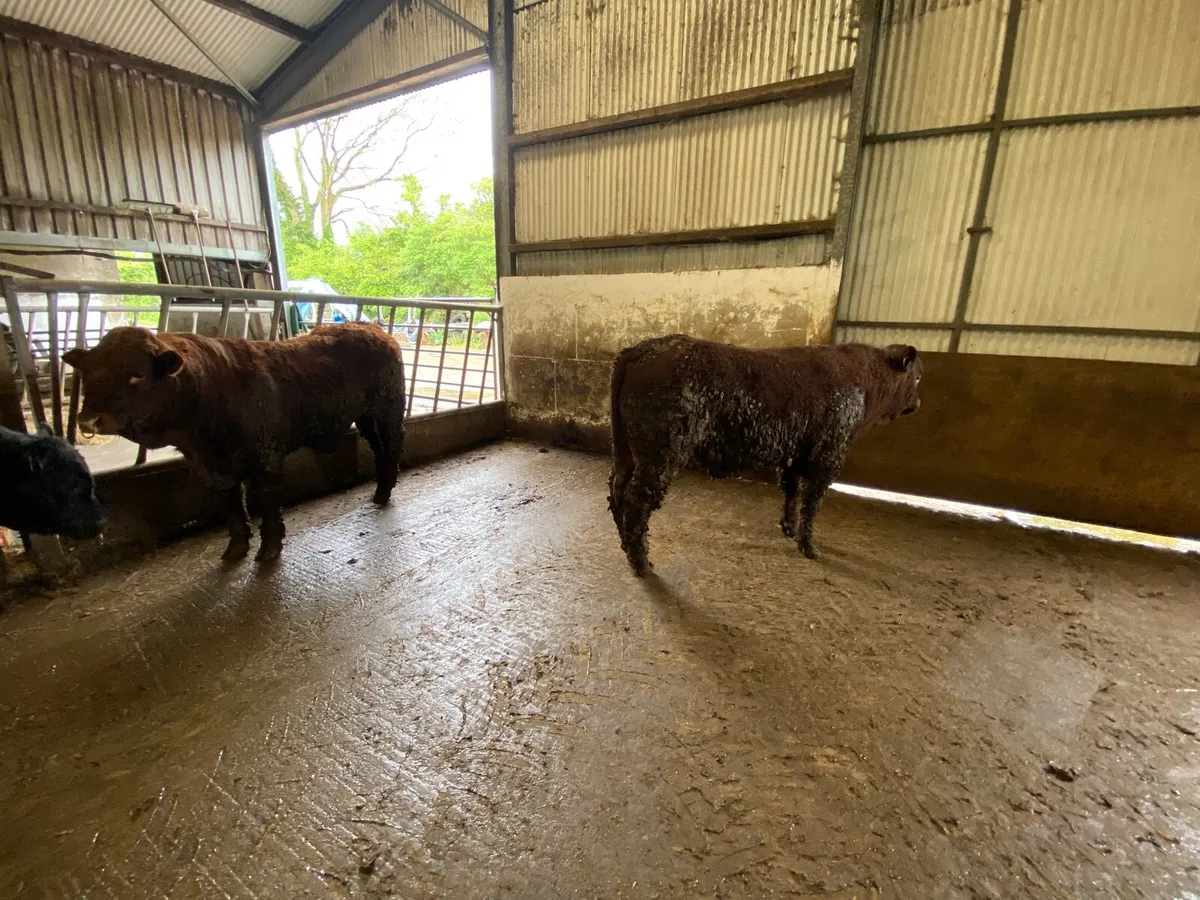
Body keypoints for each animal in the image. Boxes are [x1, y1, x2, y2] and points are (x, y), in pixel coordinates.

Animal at [63, 323, 406, 563]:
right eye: (88, 372)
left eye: (137, 374)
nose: (89, 419)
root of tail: (376, 331)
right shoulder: (212, 469)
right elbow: (232, 505)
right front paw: (235, 550)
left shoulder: (266, 460)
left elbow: (266, 501)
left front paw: (268, 550)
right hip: (366, 417)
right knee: (379, 450)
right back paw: (379, 492)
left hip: (388, 409)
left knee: (391, 446)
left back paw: (384, 494)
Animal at [607, 335, 923, 575]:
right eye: (918, 378)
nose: (918, 403)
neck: (861, 383)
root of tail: (640, 350)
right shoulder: (828, 457)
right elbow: (811, 504)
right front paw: (809, 547)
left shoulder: (794, 458)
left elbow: (792, 492)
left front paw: (789, 529)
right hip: (659, 456)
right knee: (637, 501)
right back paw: (642, 563)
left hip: (626, 452)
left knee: (617, 491)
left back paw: (625, 546)